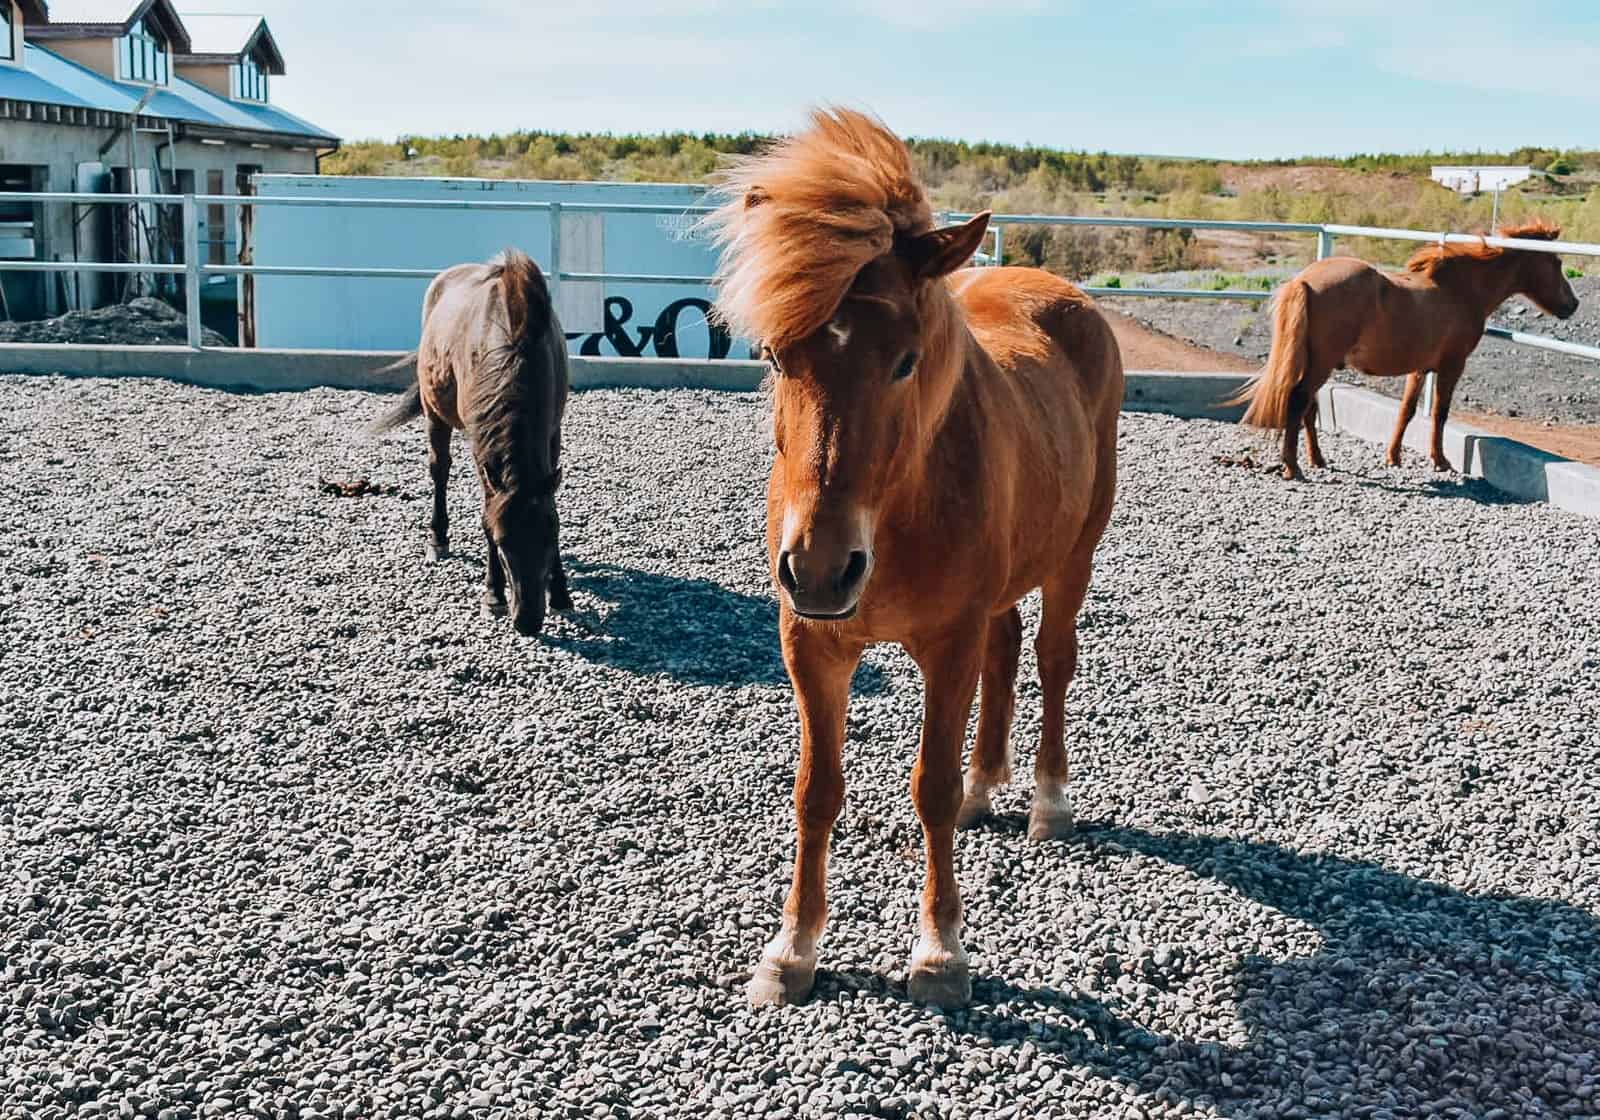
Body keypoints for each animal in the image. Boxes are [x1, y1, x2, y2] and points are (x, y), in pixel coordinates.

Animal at [374, 251, 576, 633]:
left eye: (551, 535)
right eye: (501, 542)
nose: (527, 621)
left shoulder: (552, 433)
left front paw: (560, 593)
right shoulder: (481, 447)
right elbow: (485, 511)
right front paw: (493, 595)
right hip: (434, 413)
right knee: (439, 470)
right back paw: (438, 538)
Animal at [713, 109, 1126, 1011]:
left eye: (905, 360)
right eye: (774, 357)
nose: (822, 569)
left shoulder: (946, 644)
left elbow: (927, 789)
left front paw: (940, 954)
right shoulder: (812, 645)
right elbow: (816, 792)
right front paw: (792, 949)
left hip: (1074, 554)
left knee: (1052, 658)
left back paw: (1047, 802)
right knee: (1007, 648)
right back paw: (985, 785)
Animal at [1235, 220, 1574, 480]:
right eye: (1556, 263)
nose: (1573, 304)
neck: (1462, 290)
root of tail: (1304, 281)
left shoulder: (1420, 368)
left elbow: (1407, 410)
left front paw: (1394, 456)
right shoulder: (1452, 366)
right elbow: (1439, 413)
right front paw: (1440, 461)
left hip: (1316, 364)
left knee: (1308, 408)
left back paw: (1317, 460)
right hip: (1320, 365)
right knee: (1298, 401)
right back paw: (1294, 467)